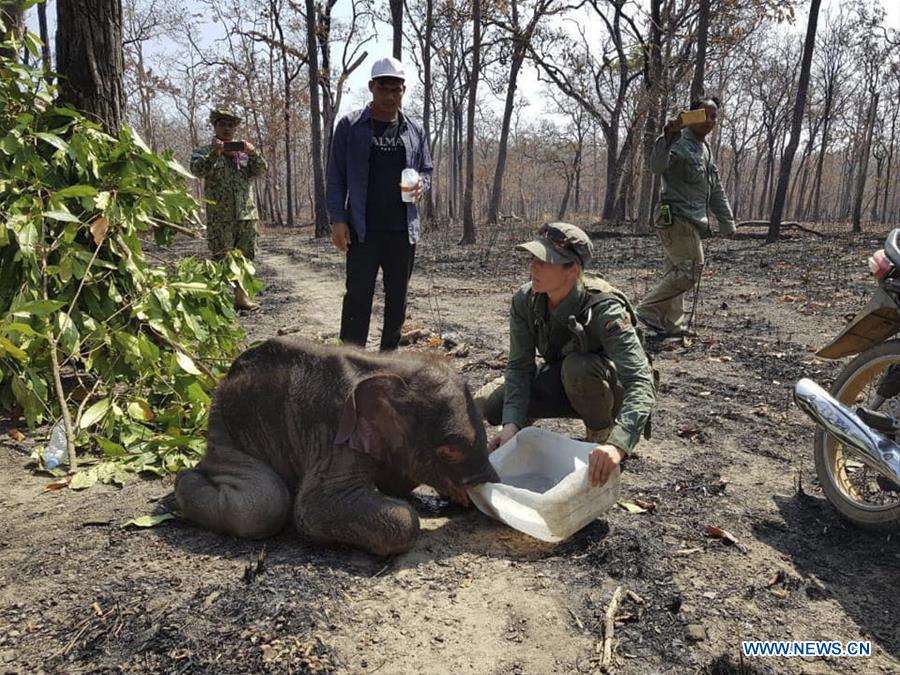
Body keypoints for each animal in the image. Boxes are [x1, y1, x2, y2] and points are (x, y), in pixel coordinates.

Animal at [174, 337, 499, 556]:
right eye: (449, 452)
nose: (481, 496)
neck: (390, 368)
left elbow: (395, 481)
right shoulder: (336, 436)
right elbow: (311, 509)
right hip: (226, 429)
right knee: (263, 505)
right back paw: (184, 479)